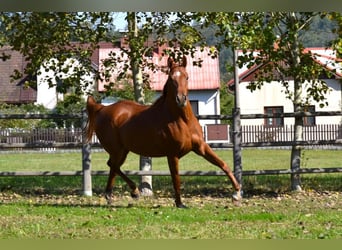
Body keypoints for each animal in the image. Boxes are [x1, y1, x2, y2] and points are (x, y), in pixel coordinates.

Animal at [86, 55, 240, 208]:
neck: (182, 120)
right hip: (117, 150)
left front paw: (237, 193)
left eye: (187, 77)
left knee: (113, 166)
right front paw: (180, 204)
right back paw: (133, 191)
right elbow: (176, 178)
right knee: (113, 165)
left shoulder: (200, 147)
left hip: (123, 150)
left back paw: (112, 196)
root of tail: (102, 109)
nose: (181, 99)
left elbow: (223, 164)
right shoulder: (172, 154)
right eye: (171, 78)